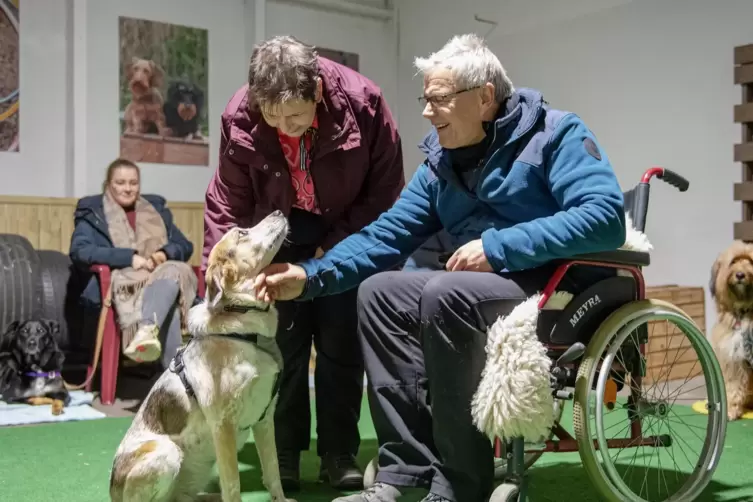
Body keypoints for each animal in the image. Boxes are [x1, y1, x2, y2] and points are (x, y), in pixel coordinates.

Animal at [110, 209, 296, 502]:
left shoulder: (265, 420)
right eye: (242, 232)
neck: (246, 332)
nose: (278, 211)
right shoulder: (224, 425)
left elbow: (273, 471)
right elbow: (233, 485)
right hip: (167, 453)